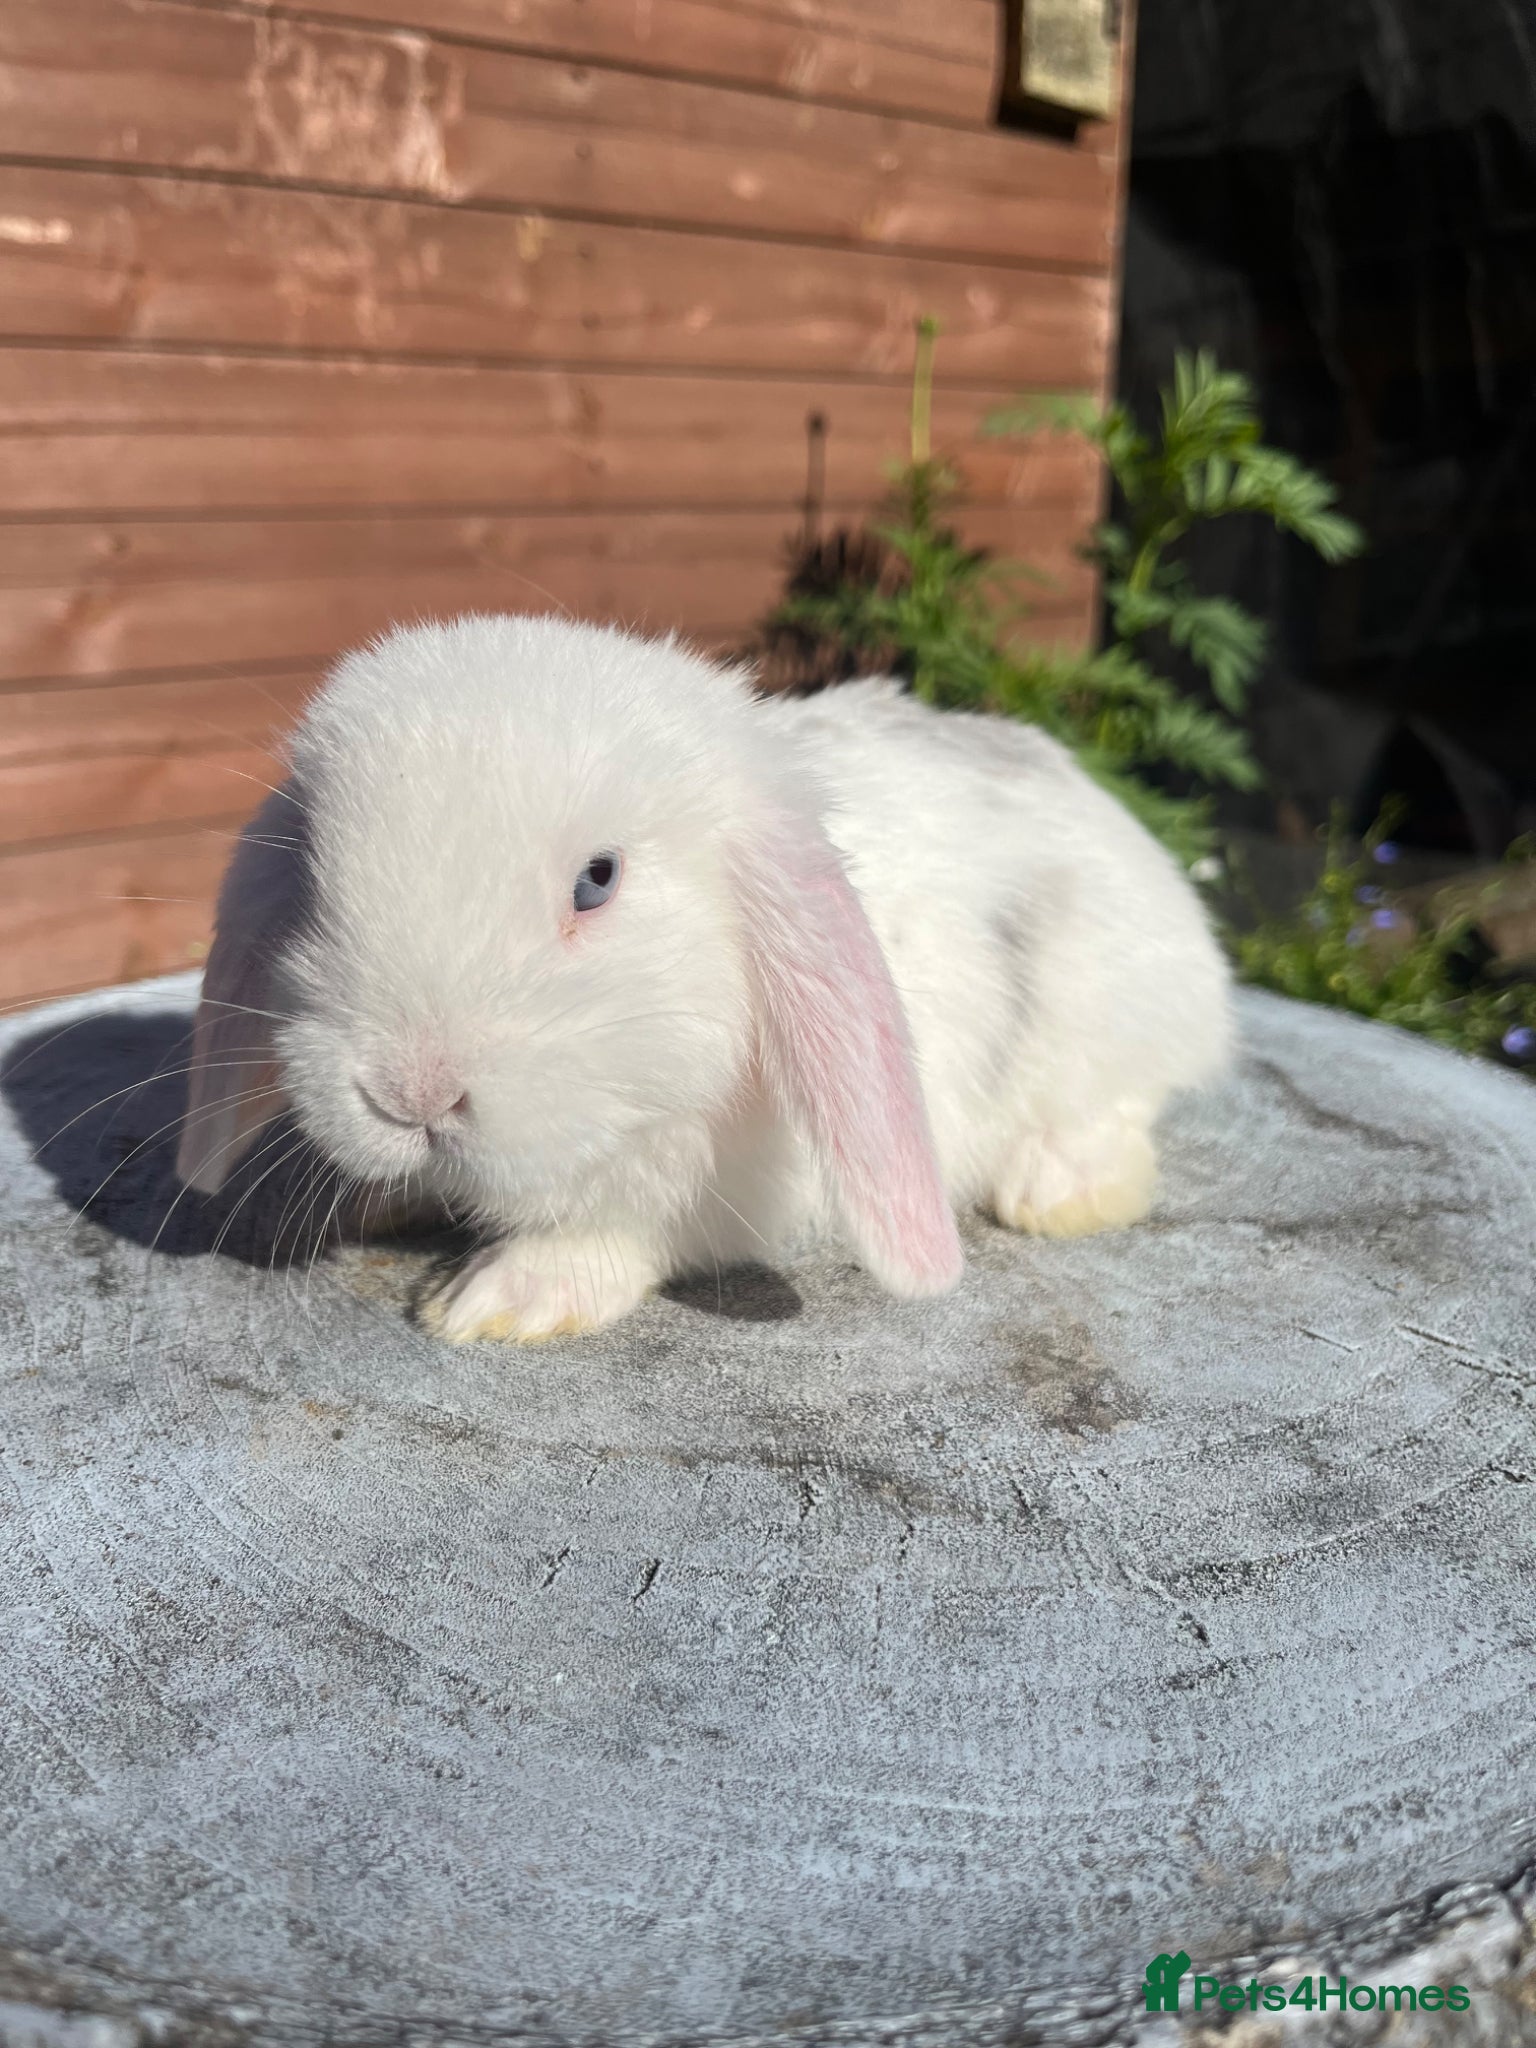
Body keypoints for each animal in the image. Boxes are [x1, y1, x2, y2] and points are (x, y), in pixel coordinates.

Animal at [176, 613, 1233, 1343]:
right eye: (315, 876)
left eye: (598, 880)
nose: (412, 1094)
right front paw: (385, 1201)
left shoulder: (718, 1191)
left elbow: (618, 1232)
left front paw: (500, 1300)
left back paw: (1060, 1192)